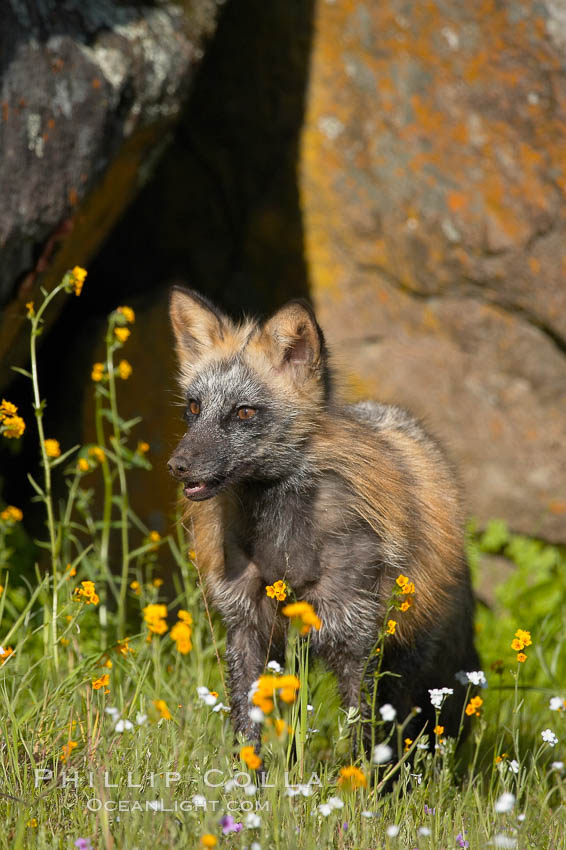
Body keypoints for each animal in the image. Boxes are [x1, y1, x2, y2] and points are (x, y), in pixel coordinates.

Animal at [166, 286, 482, 756]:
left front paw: (359, 779)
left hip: (408, 662)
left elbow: (362, 743)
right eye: (193, 407)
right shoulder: (246, 630)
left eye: (243, 413)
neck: (283, 550)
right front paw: (247, 776)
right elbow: (247, 732)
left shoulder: (357, 642)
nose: (177, 465)